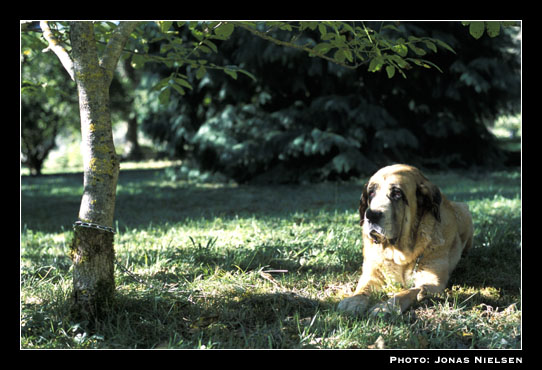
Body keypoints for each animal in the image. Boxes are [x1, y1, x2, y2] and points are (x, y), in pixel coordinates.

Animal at [340, 164, 476, 316]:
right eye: (371, 193)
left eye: (397, 194)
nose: (371, 214)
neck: (399, 253)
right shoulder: (372, 273)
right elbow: (363, 287)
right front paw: (354, 300)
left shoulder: (432, 281)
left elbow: (409, 292)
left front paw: (386, 306)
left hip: (464, 210)